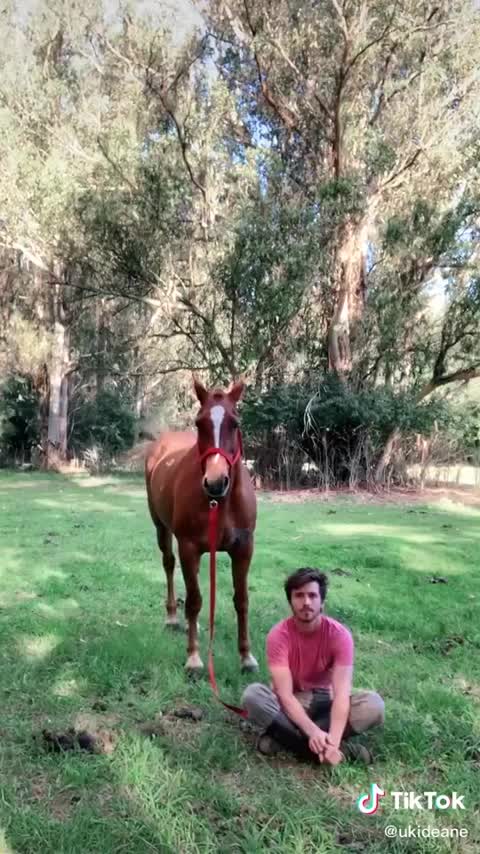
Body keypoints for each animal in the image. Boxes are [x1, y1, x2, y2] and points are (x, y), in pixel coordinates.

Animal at [145, 378, 258, 676]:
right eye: (199, 423)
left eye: (235, 422)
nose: (216, 482)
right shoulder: (189, 547)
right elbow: (195, 601)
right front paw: (194, 658)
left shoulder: (244, 549)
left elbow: (242, 600)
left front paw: (246, 656)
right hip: (161, 528)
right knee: (169, 565)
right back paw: (173, 617)